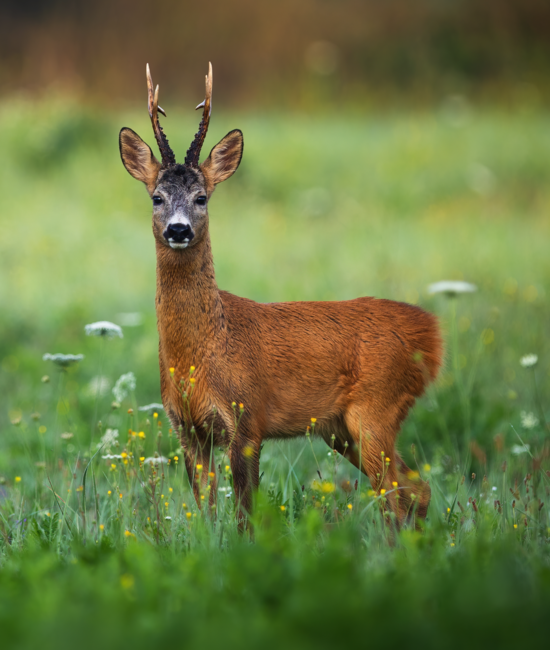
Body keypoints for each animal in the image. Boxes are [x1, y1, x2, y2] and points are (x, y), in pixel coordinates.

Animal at [119, 64, 444, 528]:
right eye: (156, 197)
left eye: (202, 197)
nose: (178, 229)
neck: (204, 353)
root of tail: (432, 334)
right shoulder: (187, 428)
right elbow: (207, 514)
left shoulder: (247, 417)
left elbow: (245, 514)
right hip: (341, 429)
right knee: (417, 489)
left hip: (377, 407)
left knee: (397, 495)